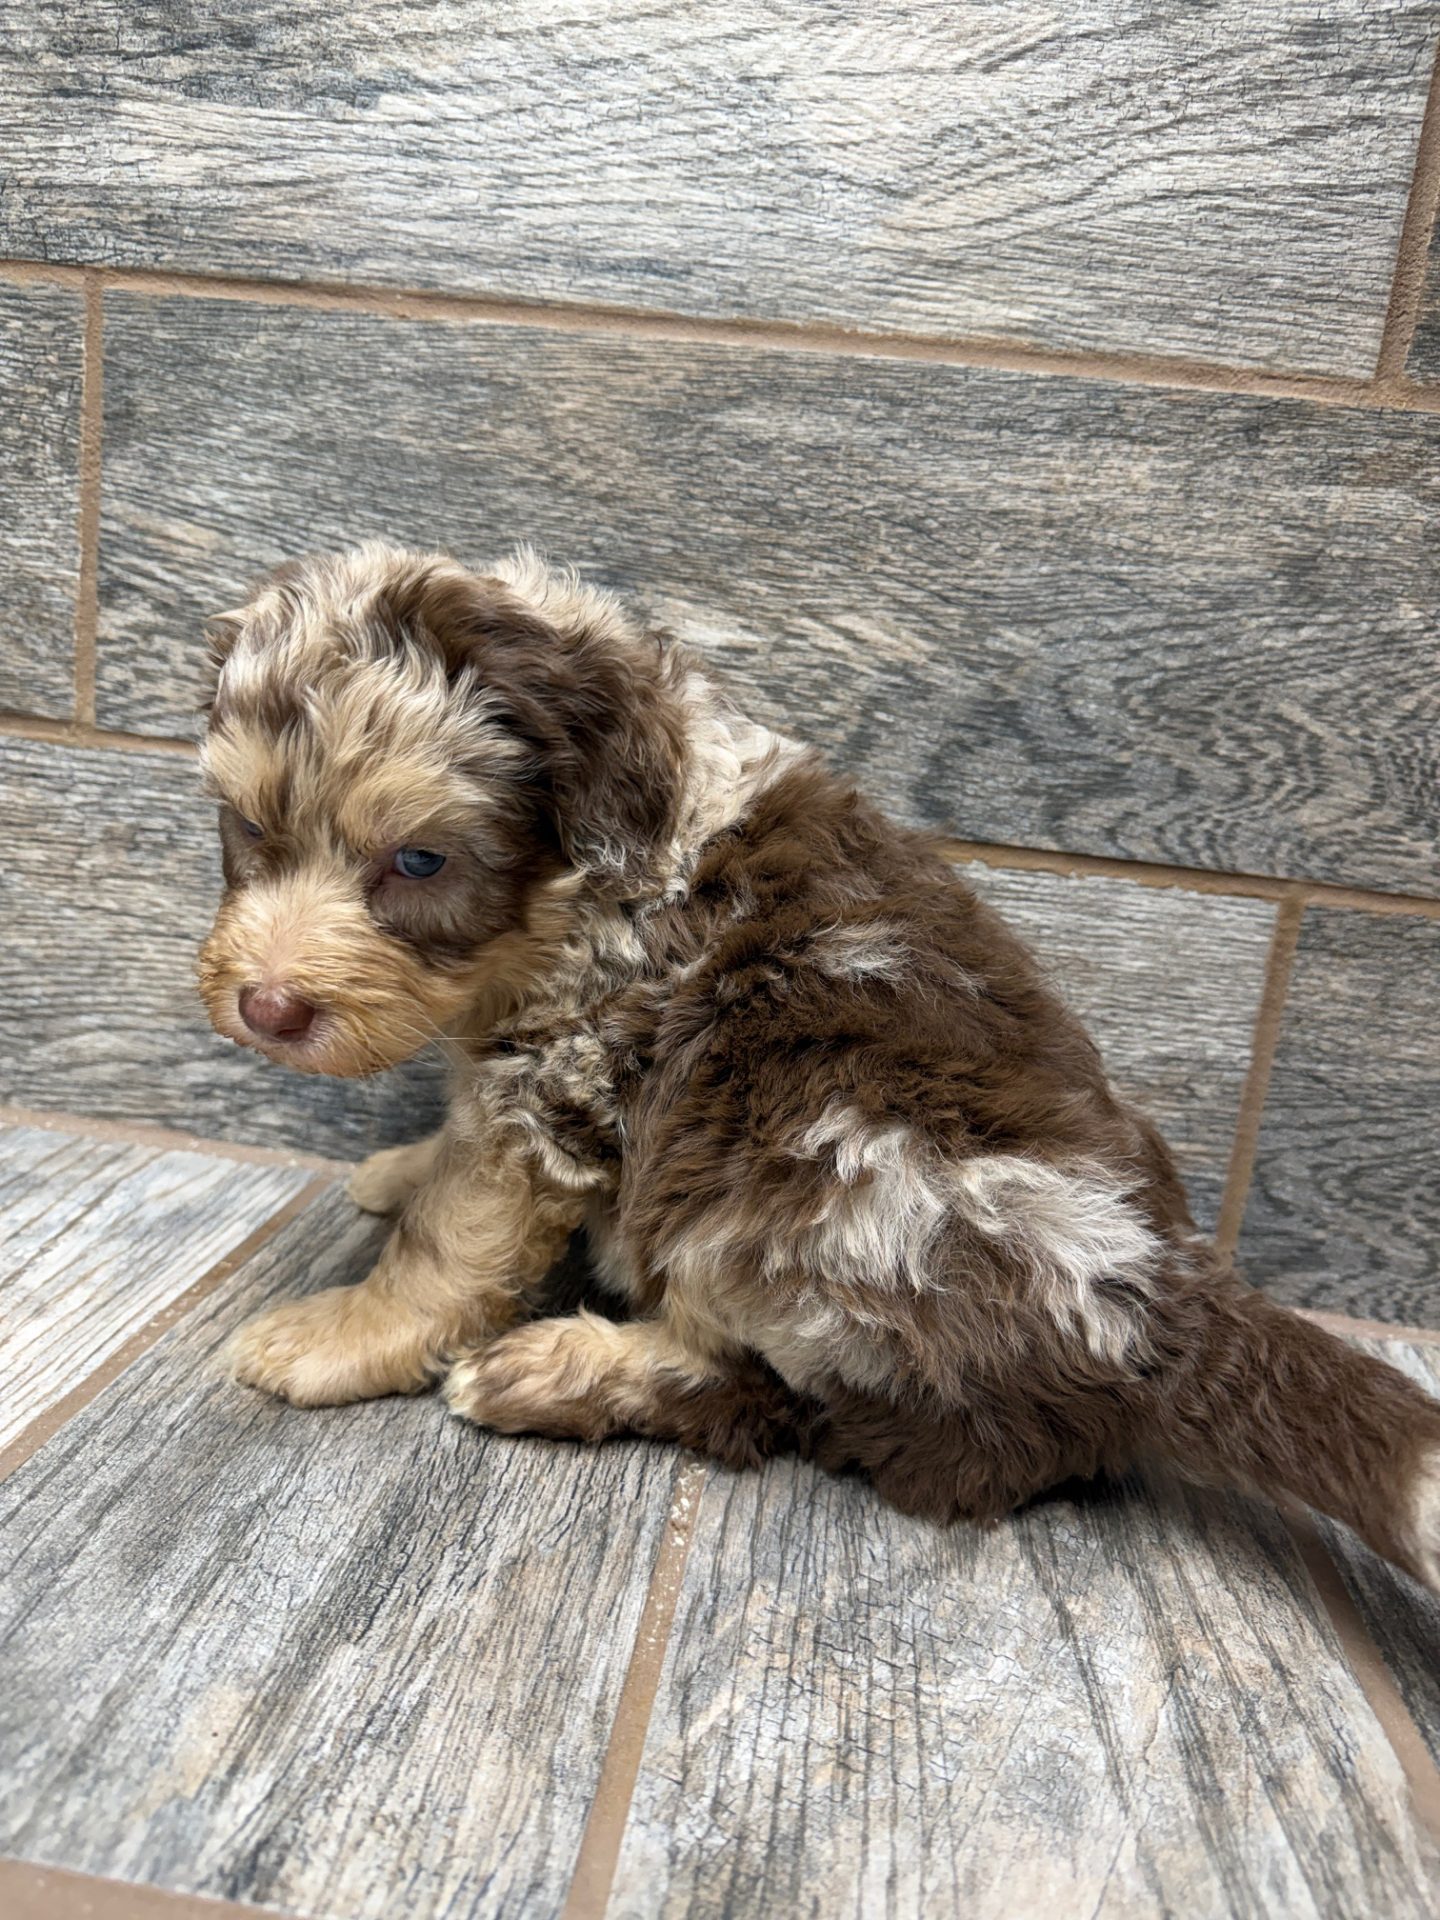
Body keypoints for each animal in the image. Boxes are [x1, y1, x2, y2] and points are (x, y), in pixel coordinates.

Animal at [198, 542, 1440, 1588]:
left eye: (420, 861)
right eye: (248, 830)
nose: (268, 1007)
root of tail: (1162, 1299)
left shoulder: (562, 1081)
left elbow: (451, 1245)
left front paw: (341, 1333)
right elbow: (449, 1154)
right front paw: (401, 1164)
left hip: (795, 1181)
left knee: (785, 1402)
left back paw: (552, 1373)